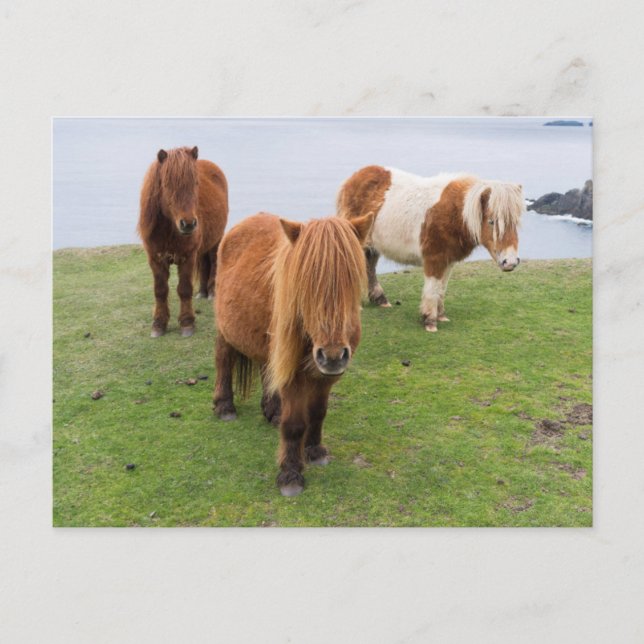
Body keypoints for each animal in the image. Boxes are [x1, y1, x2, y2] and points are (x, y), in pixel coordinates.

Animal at [137, 146, 228, 337]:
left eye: (195, 183)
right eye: (167, 185)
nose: (188, 224)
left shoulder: (187, 257)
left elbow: (184, 289)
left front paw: (187, 323)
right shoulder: (155, 259)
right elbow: (160, 290)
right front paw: (158, 324)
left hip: (216, 240)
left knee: (214, 261)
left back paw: (211, 292)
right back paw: (202, 292)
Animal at [213, 211, 374, 496]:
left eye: (351, 279)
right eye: (306, 285)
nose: (332, 355)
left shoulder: (326, 377)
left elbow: (318, 412)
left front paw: (315, 451)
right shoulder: (295, 376)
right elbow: (295, 424)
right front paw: (290, 474)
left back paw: (272, 411)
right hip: (225, 331)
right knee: (223, 362)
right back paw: (225, 406)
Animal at [337, 165, 524, 332]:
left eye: (515, 222)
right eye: (492, 221)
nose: (510, 262)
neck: (455, 213)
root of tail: (353, 179)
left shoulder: (448, 261)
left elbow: (441, 288)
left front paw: (440, 315)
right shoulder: (434, 259)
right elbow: (432, 289)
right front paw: (429, 321)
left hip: (372, 247)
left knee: (369, 266)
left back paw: (380, 299)